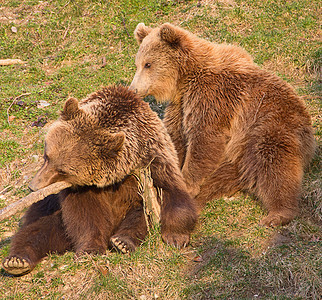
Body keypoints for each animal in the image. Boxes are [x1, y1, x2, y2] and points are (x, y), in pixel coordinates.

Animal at [2, 85, 197, 276]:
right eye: (47, 156)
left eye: (62, 170)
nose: (33, 187)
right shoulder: (82, 189)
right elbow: (85, 216)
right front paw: (90, 249)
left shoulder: (154, 164)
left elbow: (172, 197)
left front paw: (176, 236)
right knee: (39, 229)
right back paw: (17, 260)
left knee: (141, 215)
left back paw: (122, 241)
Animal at [130, 22, 316, 226]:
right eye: (138, 64)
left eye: (148, 64)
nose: (133, 89)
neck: (184, 79)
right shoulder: (181, 105)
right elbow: (175, 138)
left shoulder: (212, 96)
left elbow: (205, 139)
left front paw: (188, 184)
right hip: (235, 157)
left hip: (269, 127)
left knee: (275, 164)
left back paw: (278, 214)